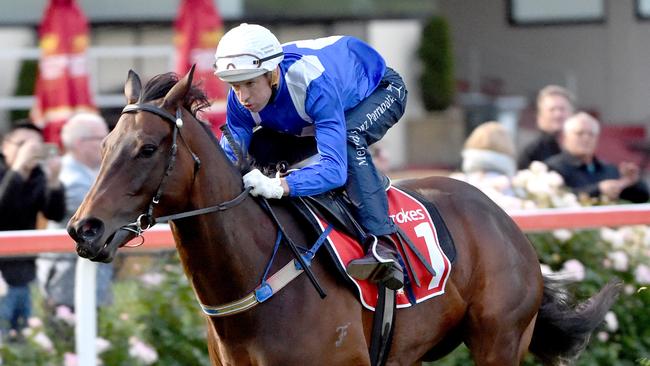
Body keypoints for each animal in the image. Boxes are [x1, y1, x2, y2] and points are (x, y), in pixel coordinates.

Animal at [67, 67, 616, 364]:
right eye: (105, 145)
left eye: (147, 148)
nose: (83, 228)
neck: (255, 280)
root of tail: (505, 221)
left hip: (499, 341)